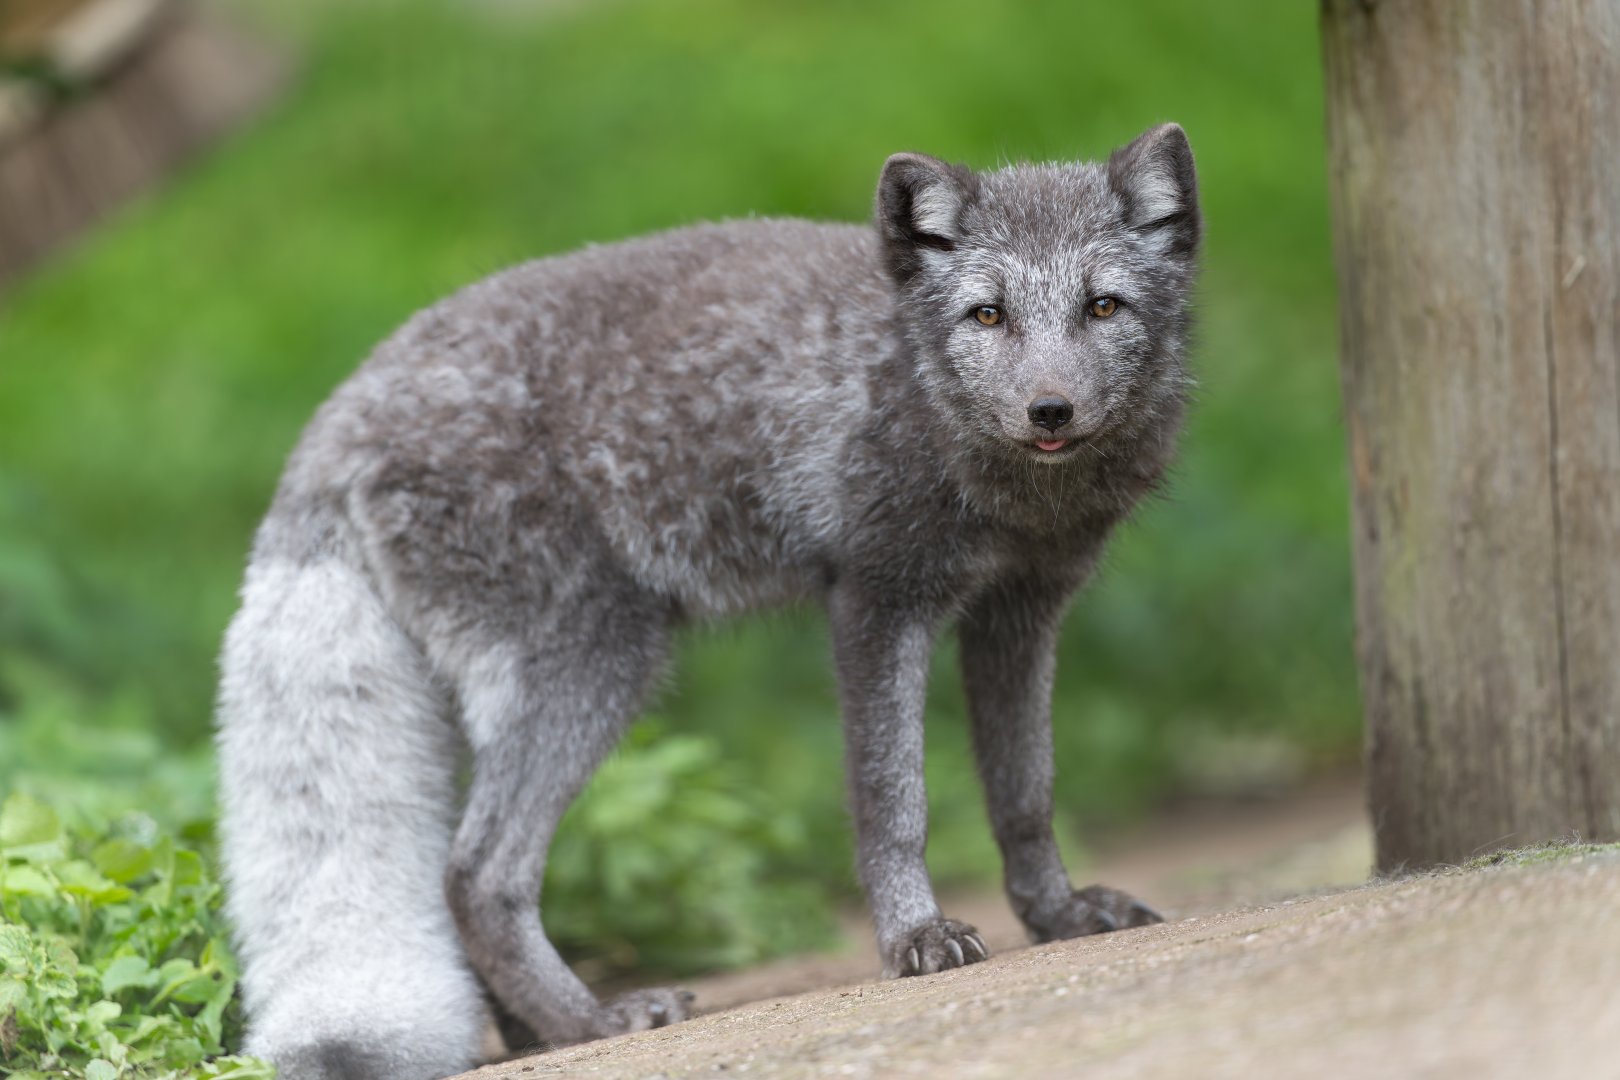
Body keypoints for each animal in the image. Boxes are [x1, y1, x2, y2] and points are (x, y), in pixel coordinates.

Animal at [215, 122, 1200, 1080]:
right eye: (988, 314)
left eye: (1103, 307)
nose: (1050, 410)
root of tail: (340, 411)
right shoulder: (877, 600)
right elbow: (895, 804)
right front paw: (915, 938)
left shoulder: (1020, 613)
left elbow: (1024, 794)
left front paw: (1057, 916)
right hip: (599, 663)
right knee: (476, 874)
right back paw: (593, 1021)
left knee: (461, 872)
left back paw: (537, 1034)